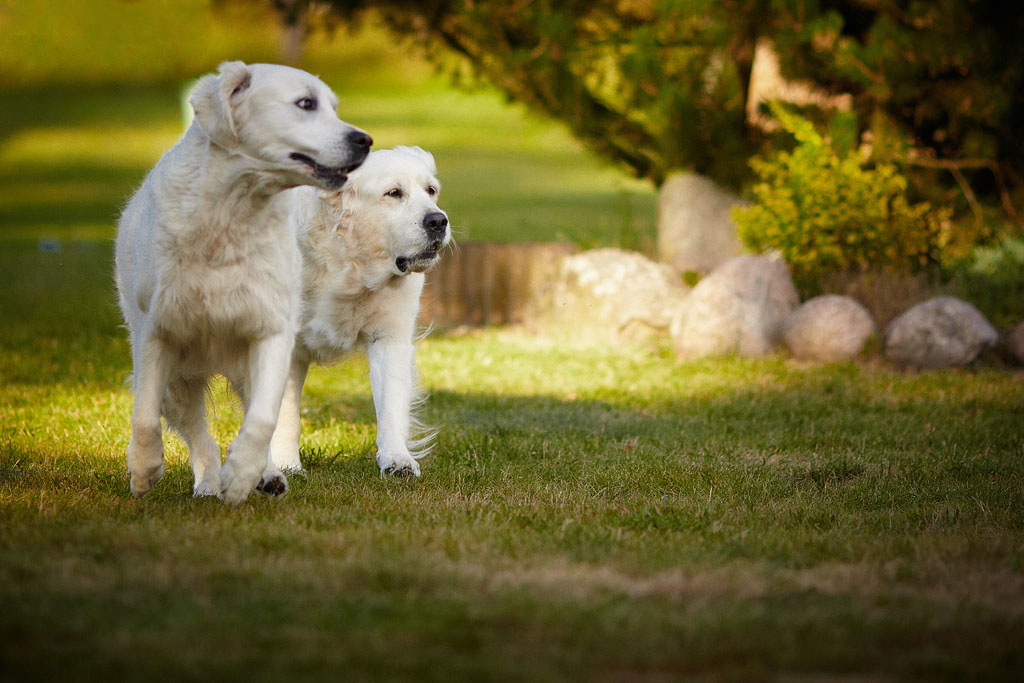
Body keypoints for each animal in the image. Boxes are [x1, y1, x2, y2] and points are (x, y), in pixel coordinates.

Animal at [117, 61, 372, 505]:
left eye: (334, 107)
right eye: (306, 104)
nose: (365, 140)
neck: (232, 210)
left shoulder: (271, 331)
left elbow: (263, 419)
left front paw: (240, 477)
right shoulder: (157, 331)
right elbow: (144, 414)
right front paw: (145, 470)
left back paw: (263, 475)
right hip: (178, 380)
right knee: (198, 434)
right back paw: (206, 484)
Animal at [268, 145, 452, 475]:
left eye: (431, 191)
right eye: (394, 193)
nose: (438, 221)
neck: (348, 266)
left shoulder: (390, 338)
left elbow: (390, 403)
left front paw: (397, 459)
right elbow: (285, 413)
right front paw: (285, 464)